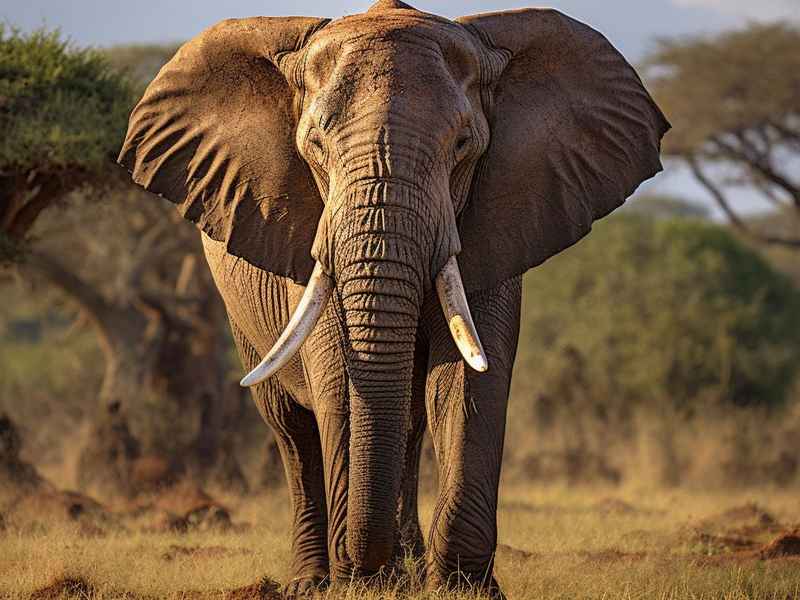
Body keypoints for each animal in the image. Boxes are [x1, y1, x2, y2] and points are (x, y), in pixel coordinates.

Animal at [118, 0, 669, 596]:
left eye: (463, 147)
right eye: (314, 148)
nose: (366, 566)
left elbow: (468, 385)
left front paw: (461, 587)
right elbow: (339, 381)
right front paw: (359, 582)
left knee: (406, 420)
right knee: (290, 428)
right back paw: (316, 580)